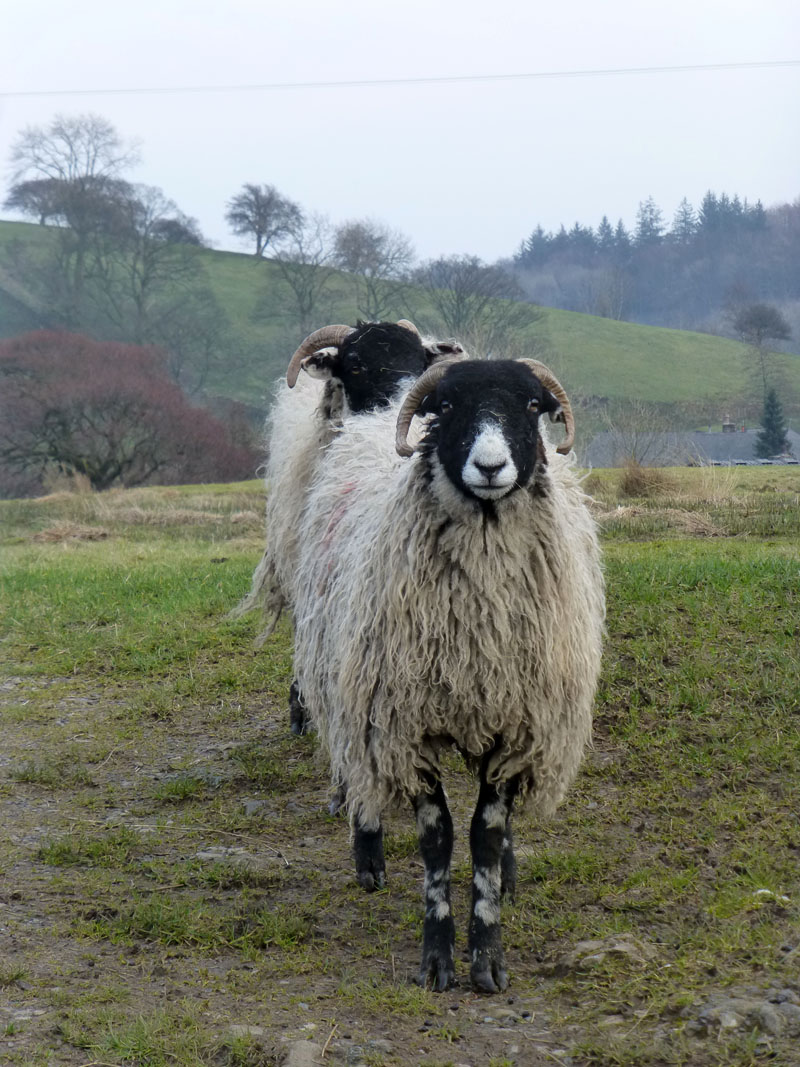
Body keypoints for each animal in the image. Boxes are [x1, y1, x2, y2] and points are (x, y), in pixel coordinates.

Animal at [283, 354, 605, 993]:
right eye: (448, 406)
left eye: (533, 405)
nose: (491, 466)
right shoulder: (405, 724)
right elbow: (439, 840)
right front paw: (437, 956)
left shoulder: (515, 724)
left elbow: (485, 835)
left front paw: (488, 955)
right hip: (349, 685)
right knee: (360, 777)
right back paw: (369, 856)